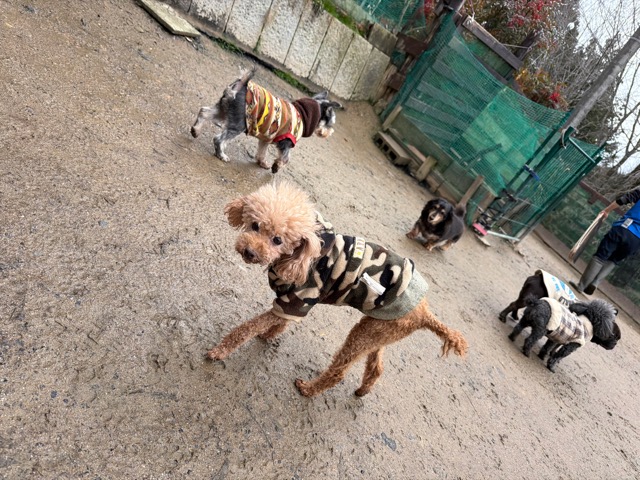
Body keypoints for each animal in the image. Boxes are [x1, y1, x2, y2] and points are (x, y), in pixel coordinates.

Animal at [191, 69, 342, 173]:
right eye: (332, 122)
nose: (330, 132)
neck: (303, 114)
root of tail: (240, 85)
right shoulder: (287, 142)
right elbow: (286, 158)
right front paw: (276, 167)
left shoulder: (266, 137)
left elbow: (262, 152)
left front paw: (262, 163)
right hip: (238, 124)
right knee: (219, 139)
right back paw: (221, 154)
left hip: (223, 110)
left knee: (204, 112)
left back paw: (195, 131)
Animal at [206, 181, 468, 397]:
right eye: (255, 225)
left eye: (278, 240)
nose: (249, 252)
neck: (299, 257)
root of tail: (425, 311)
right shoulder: (292, 302)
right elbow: (281, 321)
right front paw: (270, 334)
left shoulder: (300, 297)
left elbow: (247, 328)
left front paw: (220, 351)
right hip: (380, 329)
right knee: (377, 367)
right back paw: (362, 391)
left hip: (364, 335)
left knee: (339, 371)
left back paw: (309, 389)